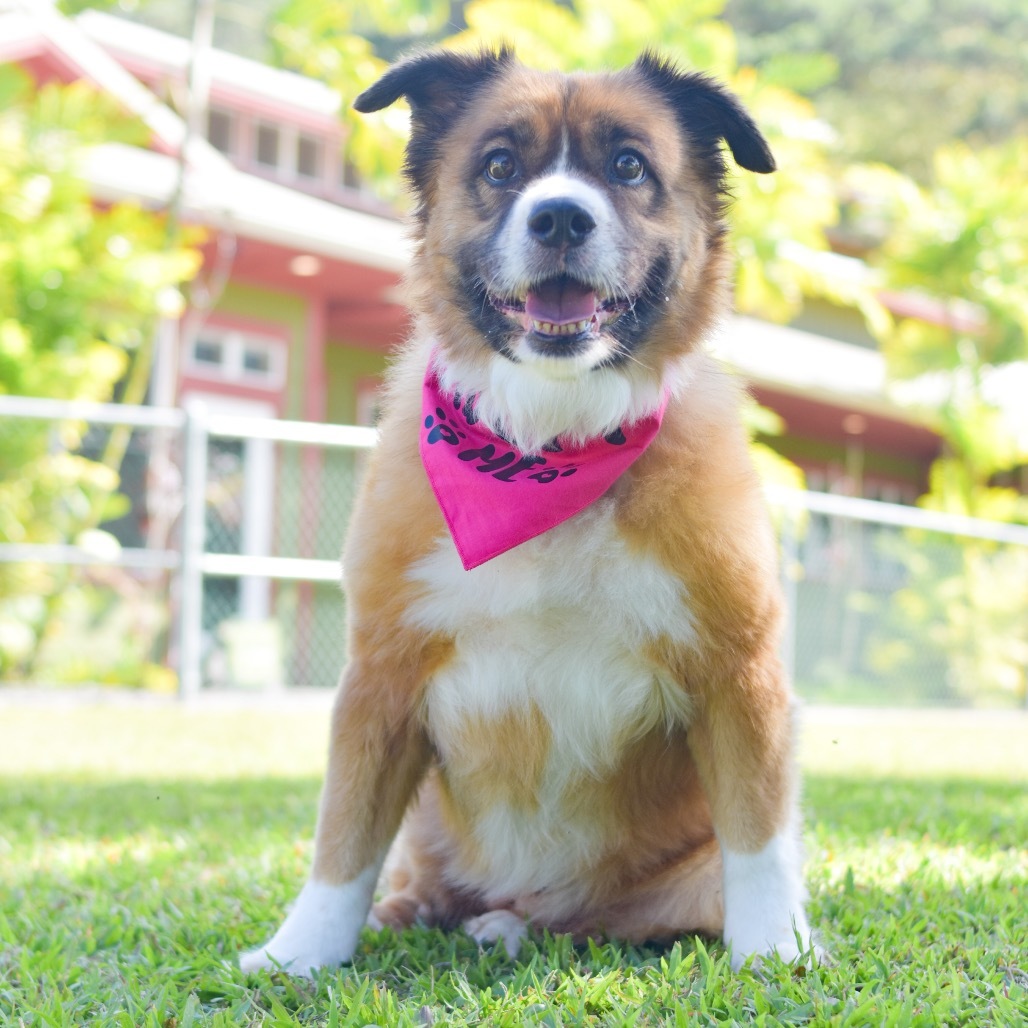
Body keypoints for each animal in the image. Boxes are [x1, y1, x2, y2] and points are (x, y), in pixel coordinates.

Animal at [236, 46, 814, 978]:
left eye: (629, 166)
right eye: (501, 166)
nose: (561, 219)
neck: (545, 445)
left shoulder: (740, 676)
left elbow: (759, 843)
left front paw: (774, 952)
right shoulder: (381, 681)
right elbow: (343, 841)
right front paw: (300, 954)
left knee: (596, 918)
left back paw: (512, 925)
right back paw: (420, 912)